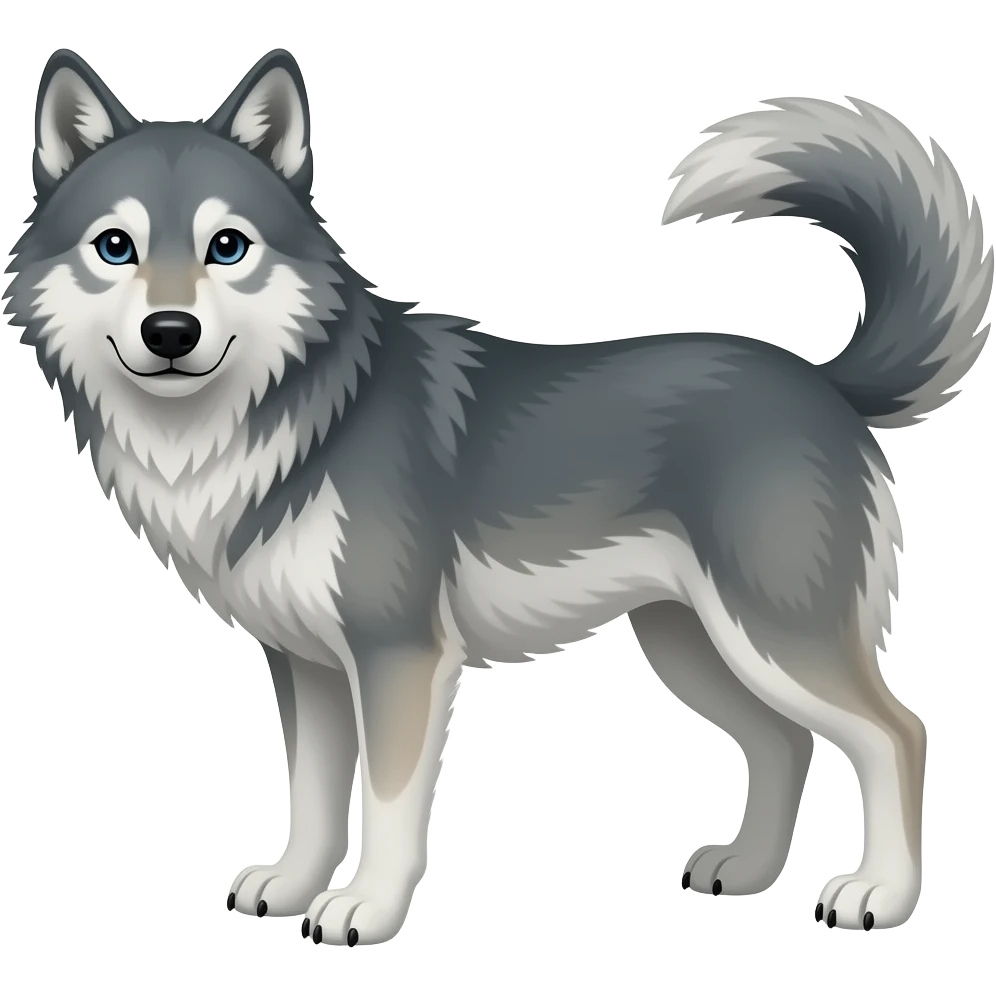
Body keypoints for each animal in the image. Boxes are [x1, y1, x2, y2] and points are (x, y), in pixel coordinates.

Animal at [4, 48, 991, 945]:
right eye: (116, 248)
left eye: (228, 247)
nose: (170, 332)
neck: (290, 422)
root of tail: (825, 384)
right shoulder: (307, 666)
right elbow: (314, 796)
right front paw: (291, 885)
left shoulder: (400, 656)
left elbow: (388, 802)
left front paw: (366, 908)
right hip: (694, 645)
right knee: (784, 741)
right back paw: (747, 869)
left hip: (772, 636)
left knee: (896, 734)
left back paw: (879, 895)